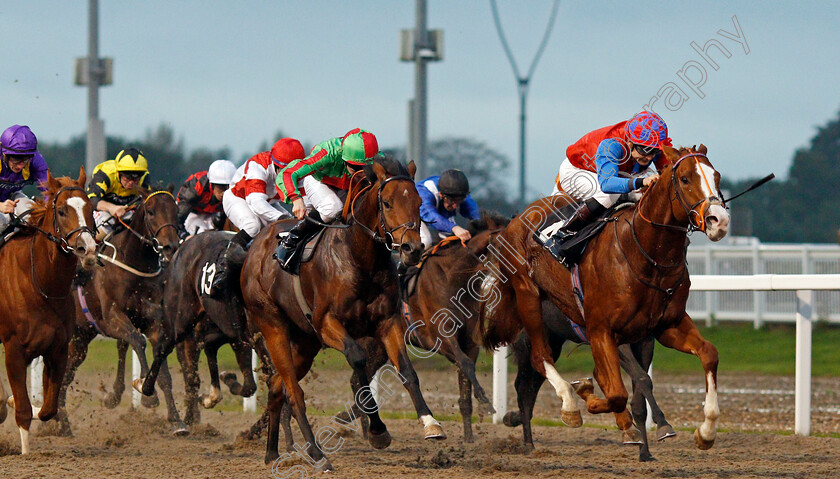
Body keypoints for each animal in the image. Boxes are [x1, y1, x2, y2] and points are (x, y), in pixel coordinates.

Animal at [0, 171, 97, 456]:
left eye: (90, 208)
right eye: (62, 210)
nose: (87, 249)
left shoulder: (57, 348)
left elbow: (47, 408)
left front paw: (14, 402)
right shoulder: (14, 349)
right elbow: (22, 409)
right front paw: (25, 453)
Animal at [55, 188, 183, 436]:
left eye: (176, 210)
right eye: (151, 211)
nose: (170, 246)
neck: (134, 265)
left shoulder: (153, 322)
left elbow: (164, 371)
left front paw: (176, 420)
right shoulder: (111, 319)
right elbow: (137, 340)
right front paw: (147, 395)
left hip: (80, 340)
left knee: (65, 376)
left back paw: (61, 422)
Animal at [241, 157, 442, 468]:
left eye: (419, 202)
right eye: (386, 203)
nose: (412, 248)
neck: (359, 258)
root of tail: (254, 249)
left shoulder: (388, 321)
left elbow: (407, 371)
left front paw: (430, 423)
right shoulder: (327, 324)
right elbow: (358, 362)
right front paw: (378, 431)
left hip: (305, 342)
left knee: (277, 386)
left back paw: (273, 452)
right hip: (273, 326)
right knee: (293, 392)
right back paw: (316, 453)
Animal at [482, 144, 732, 452]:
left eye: (717, 176)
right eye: (685, 179)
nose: (719, 221)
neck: (646, 254)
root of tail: (515, 220)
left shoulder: (665, 326)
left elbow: (708, 354)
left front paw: (705, 431)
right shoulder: (603, 330)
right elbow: (620, 390)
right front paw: (586, 395)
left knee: (532, 381)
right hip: (528, 299)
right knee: (538, 363)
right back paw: (565, 407)